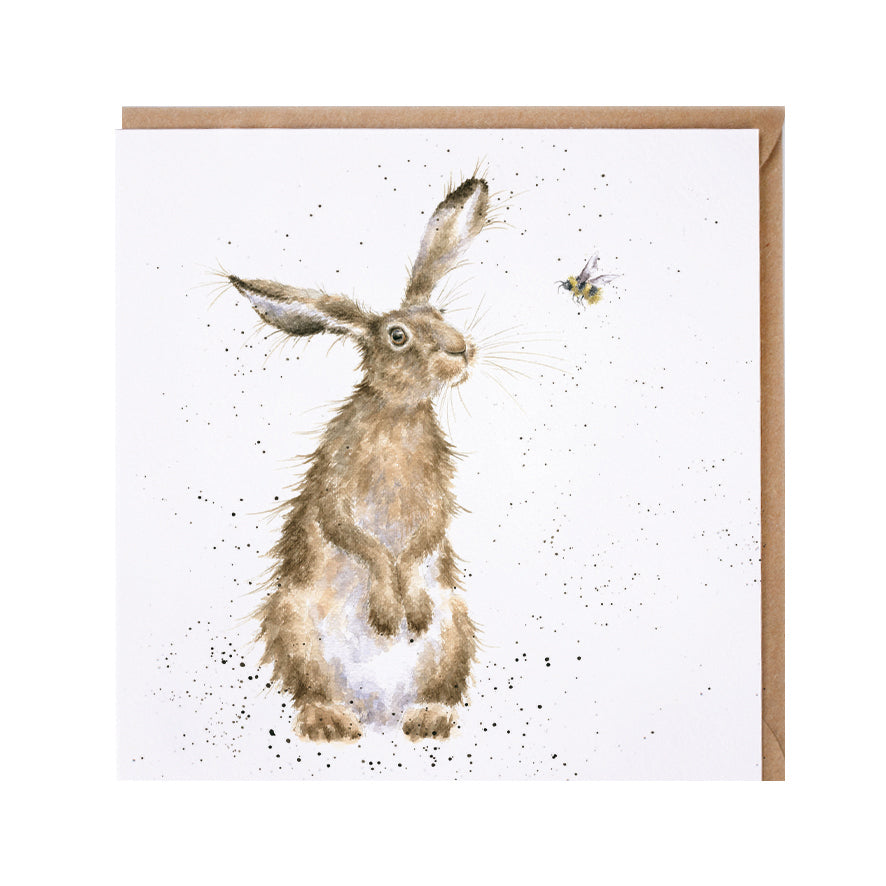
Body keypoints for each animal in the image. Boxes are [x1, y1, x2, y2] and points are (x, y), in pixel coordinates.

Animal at [226, 177, 490, 742]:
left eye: (440, 315)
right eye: (398, 336)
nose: (460, 349)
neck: (398, 414)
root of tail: (378, 708)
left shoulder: (437, 493)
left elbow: (425, 535)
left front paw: (409, 606)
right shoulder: (334, 480)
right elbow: (354, 536)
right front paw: (390, 611)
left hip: (455, 629)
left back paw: (427, 719)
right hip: (292, 622)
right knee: (311, 687)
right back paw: (331, 722)